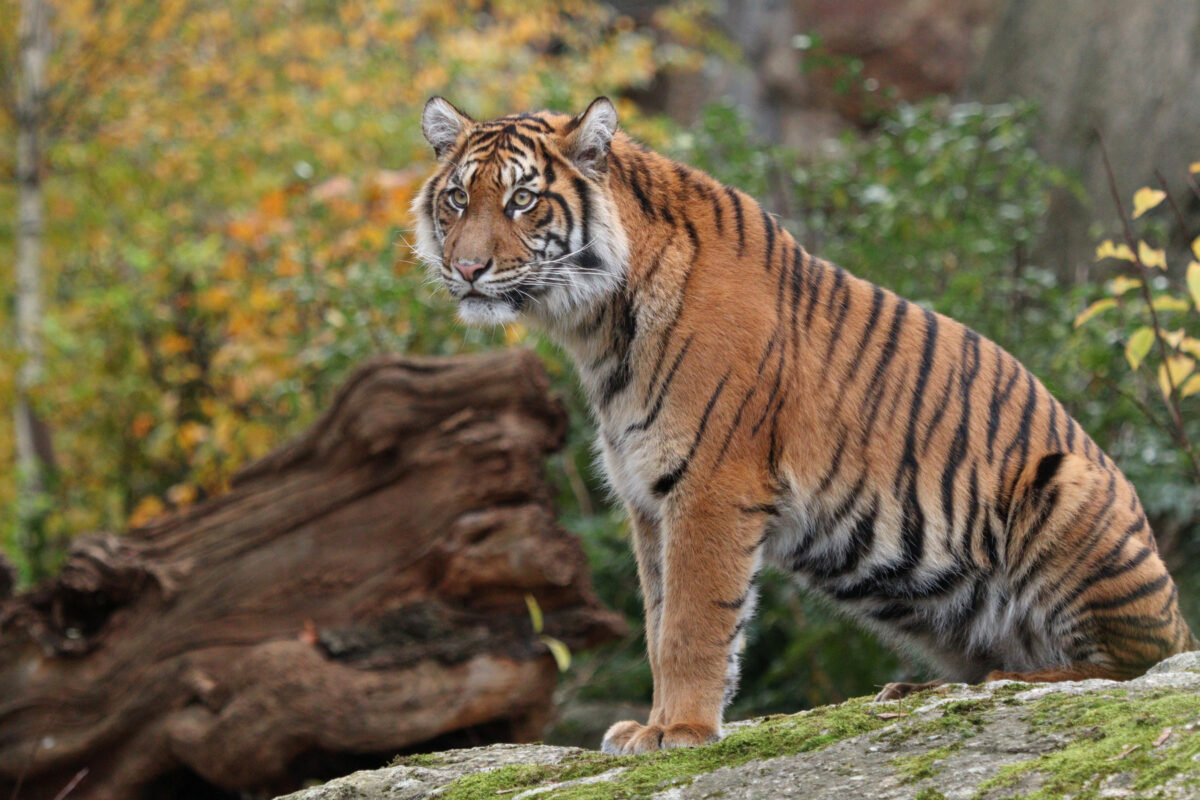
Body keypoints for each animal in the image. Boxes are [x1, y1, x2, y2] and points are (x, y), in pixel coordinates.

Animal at [410, 97, 1190, 753]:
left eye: (522, 200)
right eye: (457, 198)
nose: (467, 269)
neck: (597, 326)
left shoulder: (710, 483)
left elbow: (692, 622)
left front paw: (680, 731)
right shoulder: (646, 498)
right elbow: (659, 621)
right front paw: (651, 726)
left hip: (1067, 490)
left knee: (1136, 662)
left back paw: (1010, 683)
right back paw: (915, 689)